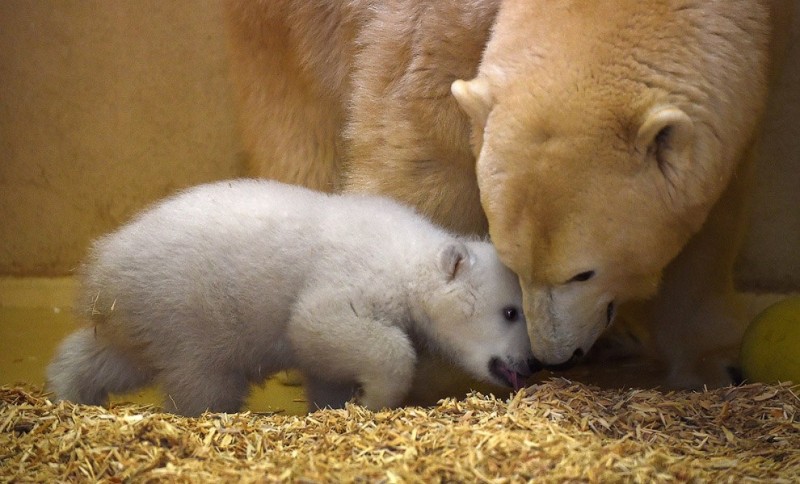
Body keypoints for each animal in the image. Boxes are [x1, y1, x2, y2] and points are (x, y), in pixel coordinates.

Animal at [225, 0, 792, 388]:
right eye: (512, 263)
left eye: (583, 273)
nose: (555, 356)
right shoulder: (434, 35)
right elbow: (419, 158)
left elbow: (710, 219)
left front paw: (714, 363)